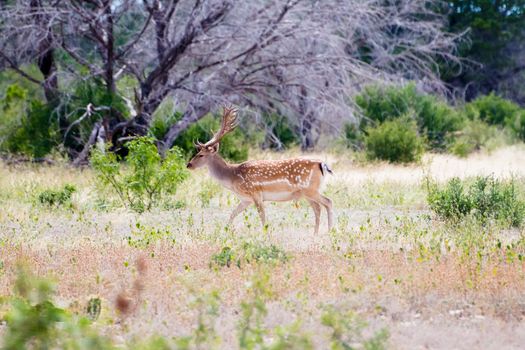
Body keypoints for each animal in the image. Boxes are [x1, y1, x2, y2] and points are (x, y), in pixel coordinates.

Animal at [186, 105, 334, 234]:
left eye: (201, 155)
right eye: (197, 152)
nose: (188, 165)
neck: (233, 178)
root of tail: (322, 164)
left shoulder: (256, 193)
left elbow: (262, 218)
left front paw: (265, 235)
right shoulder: (245, 199)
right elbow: (232, 214)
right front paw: (226, 232)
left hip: (310, 189)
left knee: (328, 202)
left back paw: (329, 232)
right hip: (306, 193)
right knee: (317, 208)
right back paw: (316, 234)